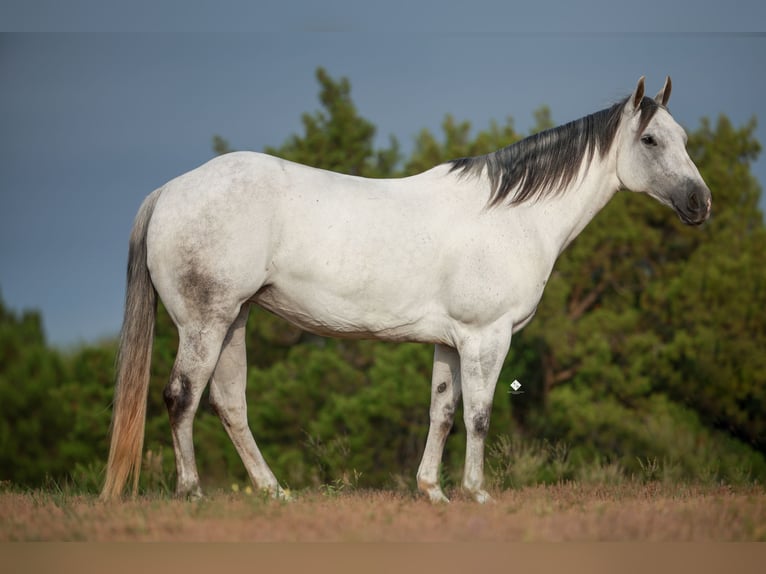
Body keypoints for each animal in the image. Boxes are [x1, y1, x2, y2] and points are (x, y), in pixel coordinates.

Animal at [102, 77, 712, 504]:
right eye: (651, 139)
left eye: (683, 138)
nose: (700, 202)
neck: (512, 216)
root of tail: (170, 191)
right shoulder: (486, 338)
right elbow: (480, 414)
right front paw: (476, 492)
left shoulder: (451, 341)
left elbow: (442, 412)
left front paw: (432, 491)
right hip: (204, 322)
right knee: (181, 397)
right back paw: (192, 492)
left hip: (235, 320)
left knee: (229, 404)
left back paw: (274, 492)